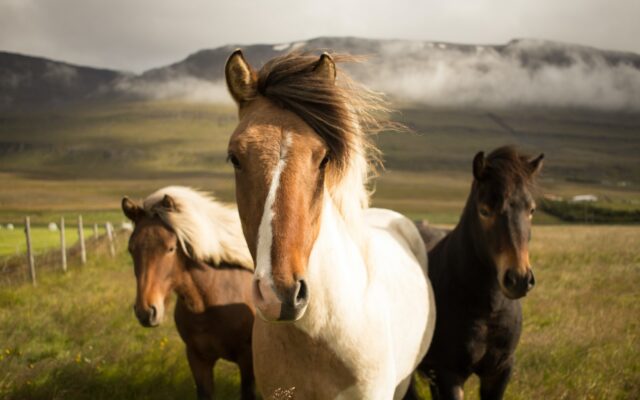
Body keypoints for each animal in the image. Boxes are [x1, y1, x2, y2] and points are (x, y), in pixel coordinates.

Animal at [416, 146, 544, 400]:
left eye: (532, 210)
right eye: (485, 210)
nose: (519, 279)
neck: (488, 309)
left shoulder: (500, 371)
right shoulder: (449, 374)